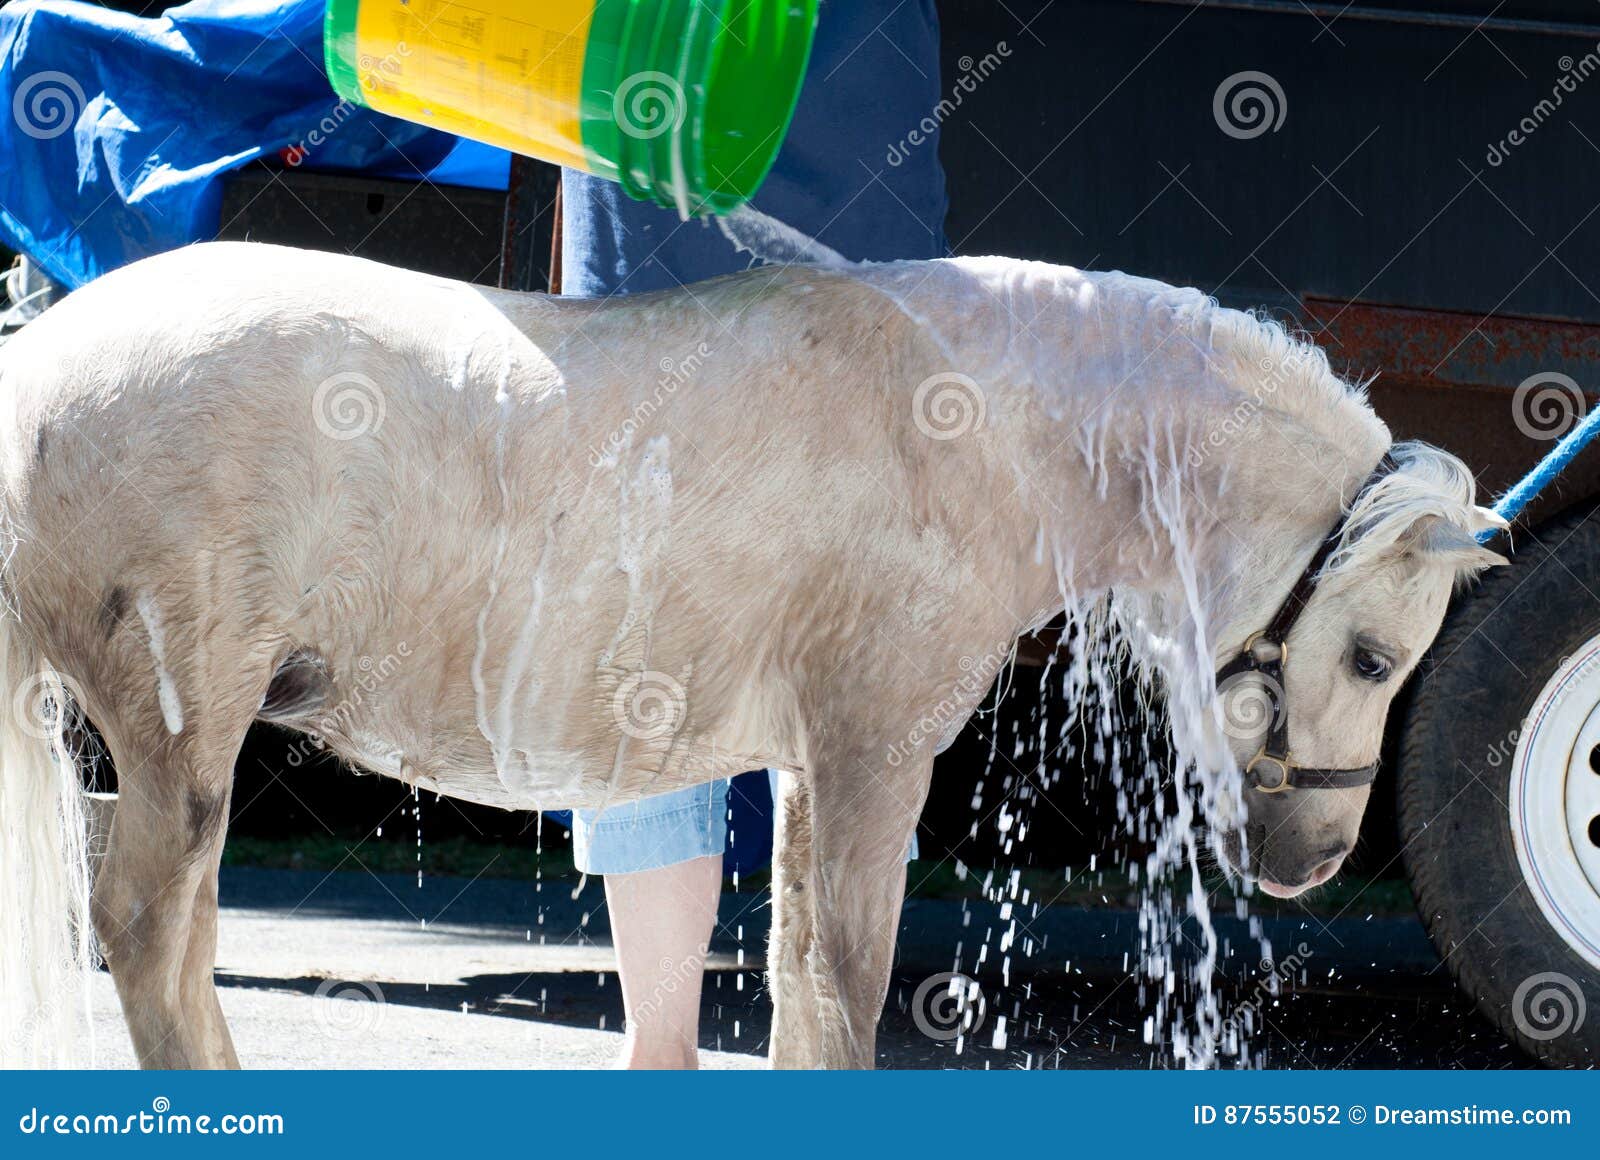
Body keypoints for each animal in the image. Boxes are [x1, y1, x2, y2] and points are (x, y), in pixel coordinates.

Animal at [0, 241, 1501, 1069]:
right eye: (1376, 657)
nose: (1314, 861)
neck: (988, 417)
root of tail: (40, 366)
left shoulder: (806, 766)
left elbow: (794, 984)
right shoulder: (874, 750)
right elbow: (847, 984)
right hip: (181, 723)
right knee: (147, 933)